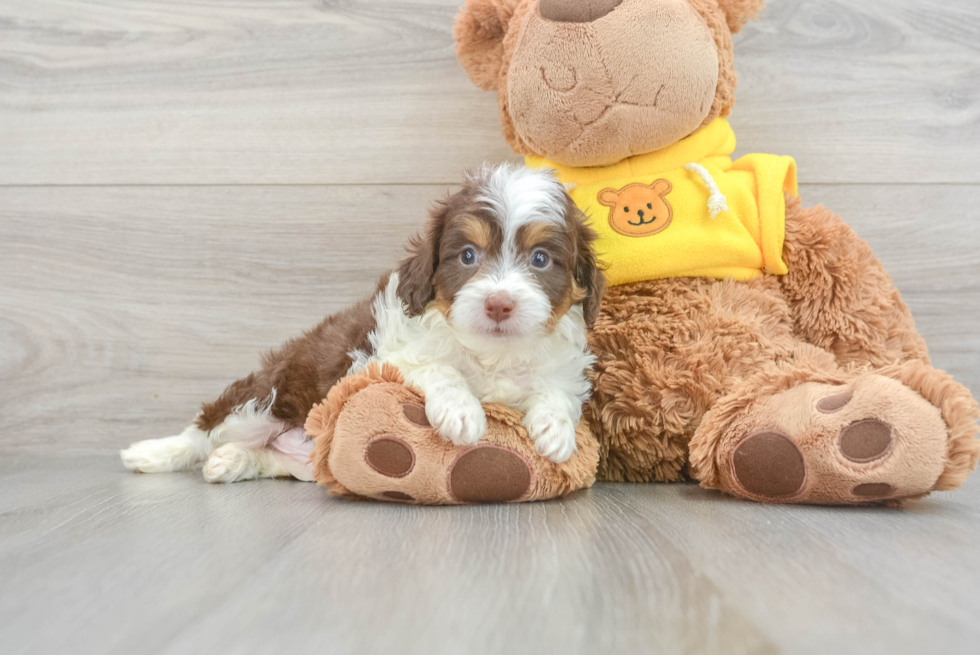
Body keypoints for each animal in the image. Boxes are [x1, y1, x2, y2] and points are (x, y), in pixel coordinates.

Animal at [122, 164, 604, 482]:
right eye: (468, 255)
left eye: (540, 260)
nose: (499, 304)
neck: (492, 352)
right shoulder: (388, 357)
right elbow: (440, 369)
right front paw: (462, 411)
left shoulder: (562, 367)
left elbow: (558, 391)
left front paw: (556, 430)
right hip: (267, 397)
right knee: (206, 427)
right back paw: (154, 452)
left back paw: (233, 461)